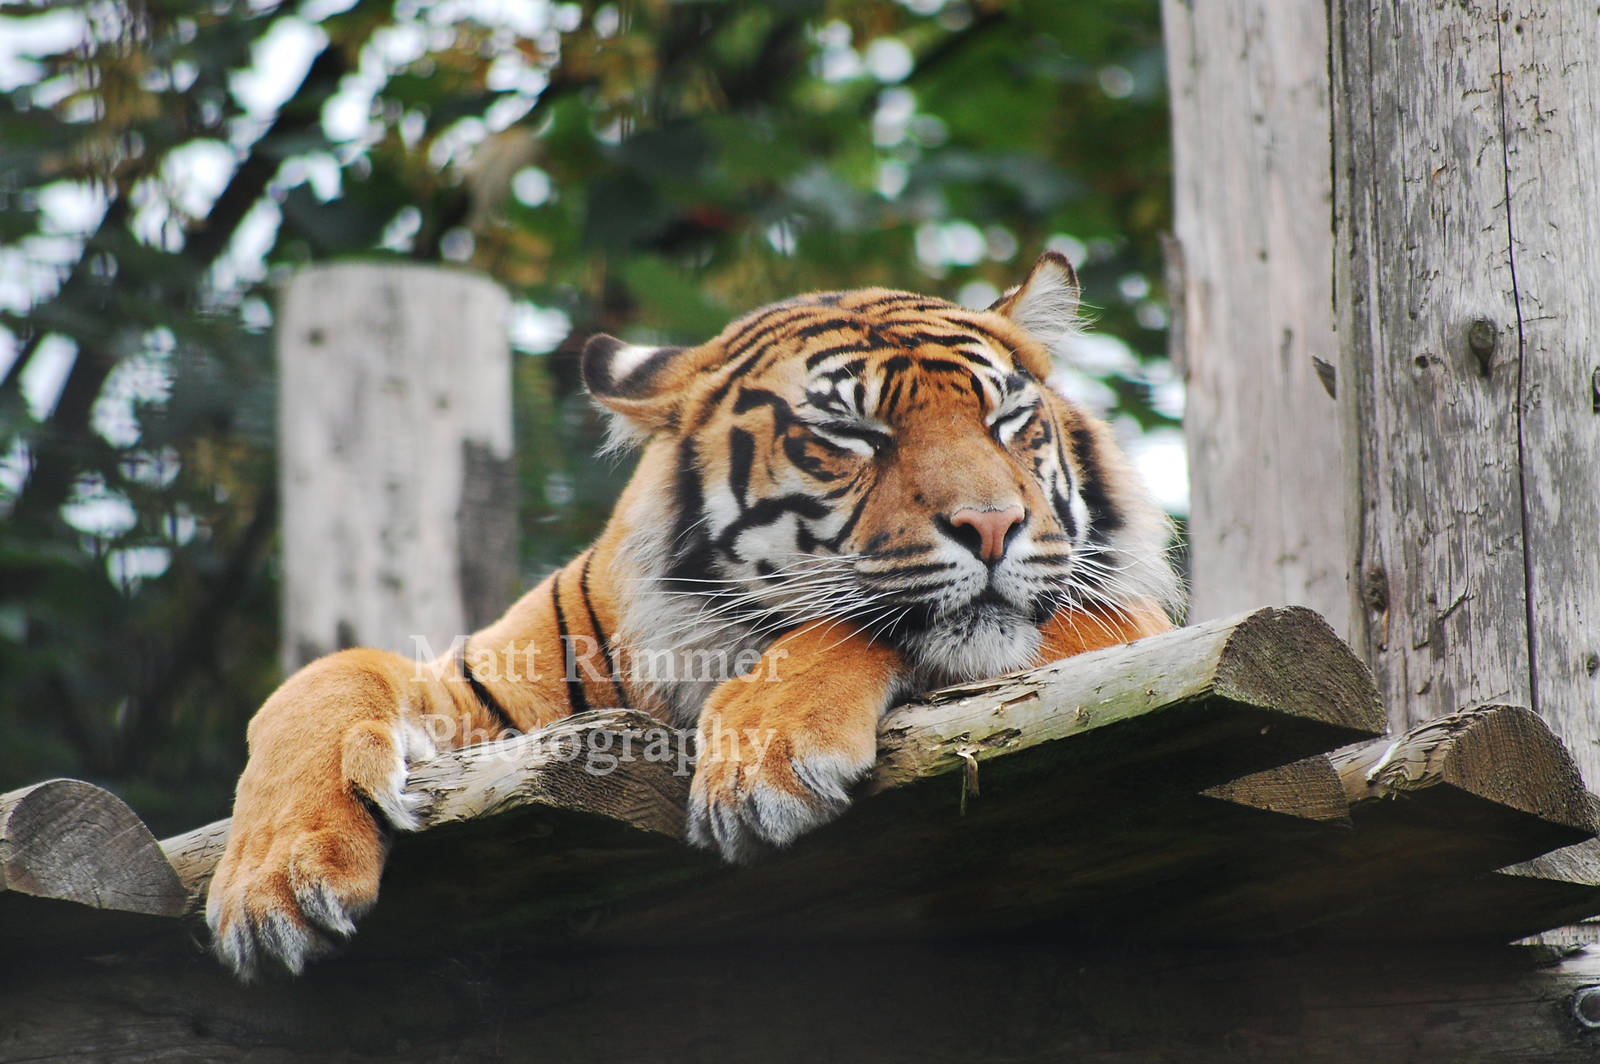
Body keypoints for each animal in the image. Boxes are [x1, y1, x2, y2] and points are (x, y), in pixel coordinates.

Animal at [206, 251, 1182, 980]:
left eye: (1009, 419)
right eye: (851, 437)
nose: (992, 526)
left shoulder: (1129, 624)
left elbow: (845, 623)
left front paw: (762, 762)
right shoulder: (481, 688)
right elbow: (322, 680)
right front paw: (274, 880)